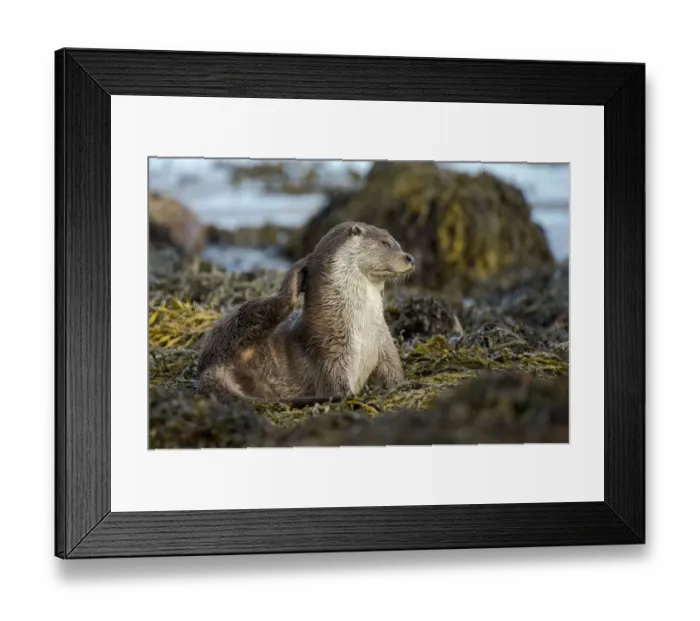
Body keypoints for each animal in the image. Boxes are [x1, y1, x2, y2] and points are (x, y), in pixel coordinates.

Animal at [196, 221, 415, 404]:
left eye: (397, 243)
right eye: (385, 243)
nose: (410, 257)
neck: (362, 327)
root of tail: (212, 366)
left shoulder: (384, 342)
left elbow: (393, 370)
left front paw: (402, 385)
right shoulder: (331, 350)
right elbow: (335, 383)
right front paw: (348, 396)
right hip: (234, 325)